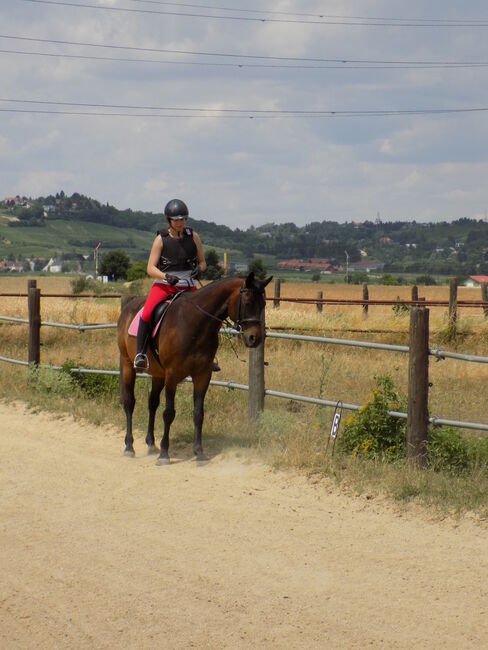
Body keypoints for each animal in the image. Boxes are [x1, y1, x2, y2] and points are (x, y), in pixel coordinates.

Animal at [117, 270, 272, 464]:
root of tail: (128, 307)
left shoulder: (202, 375)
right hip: (128, 365)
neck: (195, 322)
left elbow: (198, 413)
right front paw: (165, 454)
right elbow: (169, 413)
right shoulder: (172, 375)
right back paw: (129, 446)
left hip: (158, 374)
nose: (255, 338)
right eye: (248, 302)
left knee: (152, 403)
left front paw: (199, 452)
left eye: (263, 304)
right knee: (130, 402)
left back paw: (151, 443)